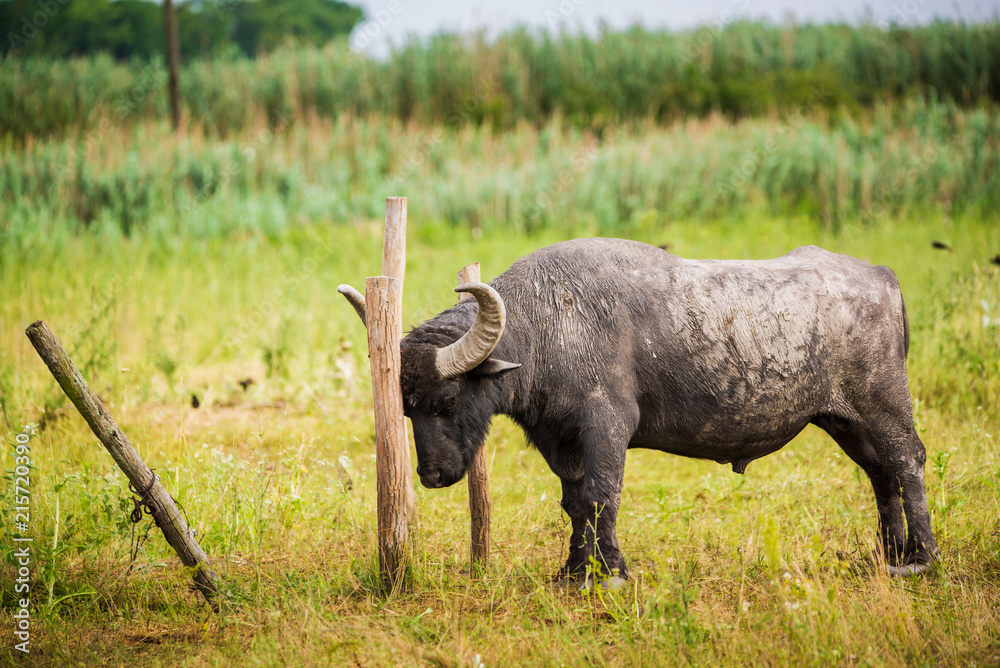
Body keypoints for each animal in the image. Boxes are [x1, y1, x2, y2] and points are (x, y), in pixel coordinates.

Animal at [340, 239, 939, 584]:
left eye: (446, 401)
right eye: (404, 409)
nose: (433, 475)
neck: (549, 324)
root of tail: (883, 277)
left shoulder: (605, 427)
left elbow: (603, 495)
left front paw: (610, 572)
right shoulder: (560, 441)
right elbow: (574, 502)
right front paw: (572, 570)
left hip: (884, 405)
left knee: (907, 462)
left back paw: (920, 557)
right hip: (844, 419)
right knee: (879, 472)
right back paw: (886, 553)